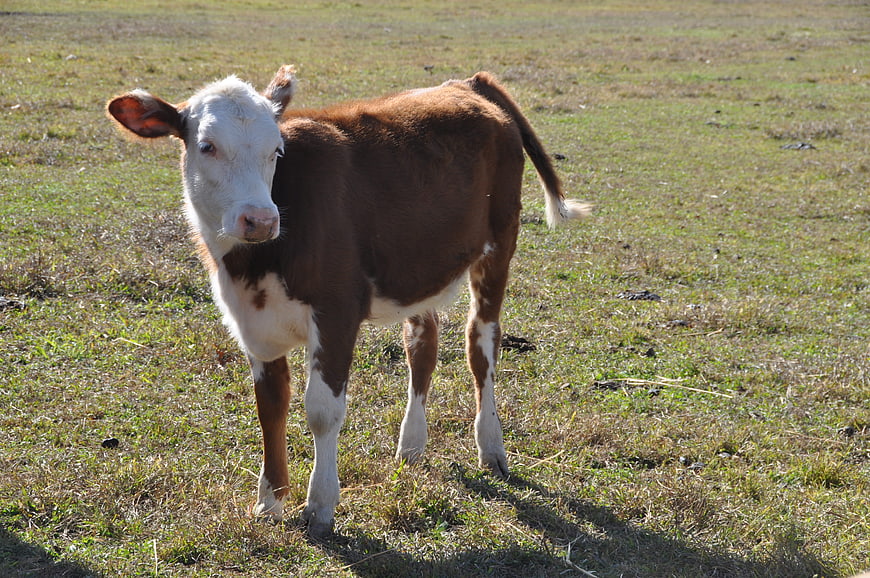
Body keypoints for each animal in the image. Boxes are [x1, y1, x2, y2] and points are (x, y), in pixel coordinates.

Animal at [107, 65, 588, 537]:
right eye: (206, 146)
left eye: (276, 151)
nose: (260, 219)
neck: (255, 263)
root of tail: (467, 83)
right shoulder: (253, 322)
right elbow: (270, 406)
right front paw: (270, 500)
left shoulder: (337, 312)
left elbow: (322, 411)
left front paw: (319, 504)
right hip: (418, 265)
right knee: (423, 345)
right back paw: (411, 445)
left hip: (499, 243)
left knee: (481, 344)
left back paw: (490, 444)